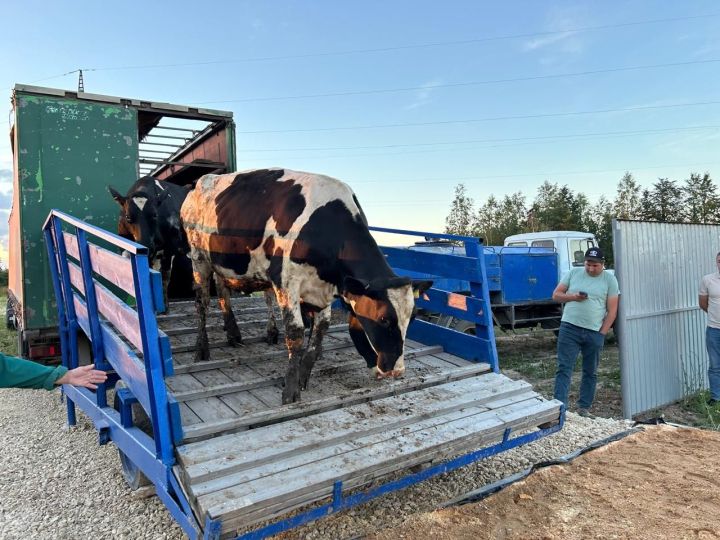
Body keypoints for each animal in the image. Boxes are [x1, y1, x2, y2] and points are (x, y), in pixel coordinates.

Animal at [180, 170, 434, 404]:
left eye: (412, 318)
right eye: (383, 319)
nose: (396, 370)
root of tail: (201, 182)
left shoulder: (324, 291)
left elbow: (318, 334)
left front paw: (304, 376)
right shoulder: (286, 283)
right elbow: (295, 334)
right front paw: (290, 390)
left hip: (221, 262)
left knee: (223, 290)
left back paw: (234, 332)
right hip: (199, 257)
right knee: (202, 302)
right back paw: (202, 348)